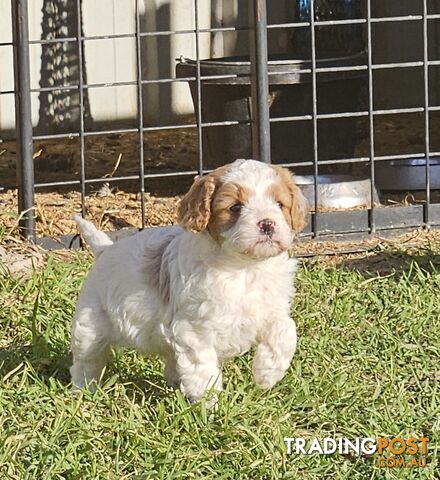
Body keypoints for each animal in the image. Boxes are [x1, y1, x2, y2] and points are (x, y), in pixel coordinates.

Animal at [70, 159, 308, 404]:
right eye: (235, 208)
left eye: (280, 204)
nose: (267, 223)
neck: (245, 268)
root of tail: (106, 248)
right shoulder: (194, 329)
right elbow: (203, 369)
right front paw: (209, 405)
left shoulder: (271, 310)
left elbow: (286, 329)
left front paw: (267, 374)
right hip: (90, 325)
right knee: (86, 361)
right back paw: (84, 390)